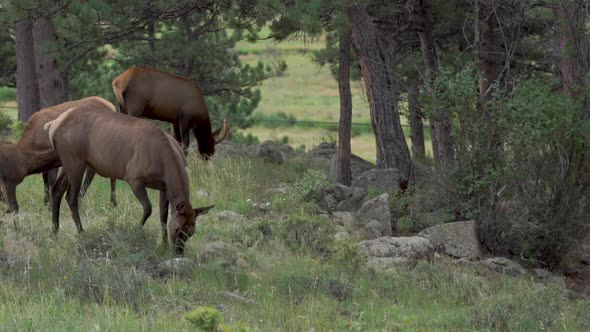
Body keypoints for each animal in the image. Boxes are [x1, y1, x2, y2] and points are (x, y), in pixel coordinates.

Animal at [45, 106, 215, 254]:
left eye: (192, 231)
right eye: (178, 229)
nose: (179, 251)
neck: (165, 163)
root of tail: (52, 126)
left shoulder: (163, 186)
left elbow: (163, 215)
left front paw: (164, 244)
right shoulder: (133, 177)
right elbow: (148, 208)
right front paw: (137, 231)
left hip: (69, 163)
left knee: (57, 189)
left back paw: (54, 232)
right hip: (75, 161)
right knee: (71, 197)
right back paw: (81, 232)